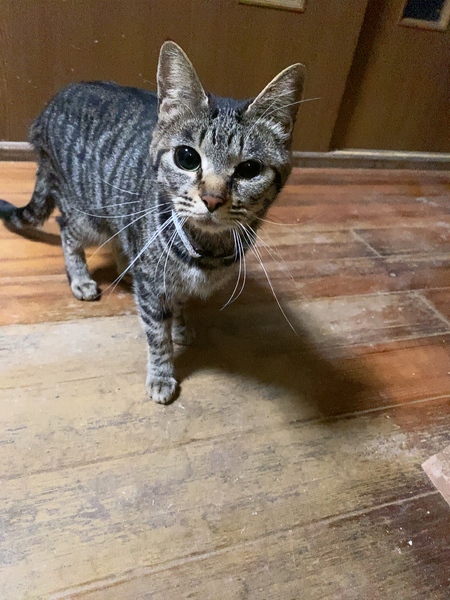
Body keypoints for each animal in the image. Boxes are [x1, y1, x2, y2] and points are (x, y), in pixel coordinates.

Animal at [0, 41, 305, 404]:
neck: (207, 251)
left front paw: (182, 325)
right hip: (88, 215)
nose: (213, 198)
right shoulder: (154, 284)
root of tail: (54, 100)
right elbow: (158, 336)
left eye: (249, 169)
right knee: (67, 230)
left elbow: (180, 303)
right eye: (187, 158)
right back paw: (82, 278)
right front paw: (161, 374)